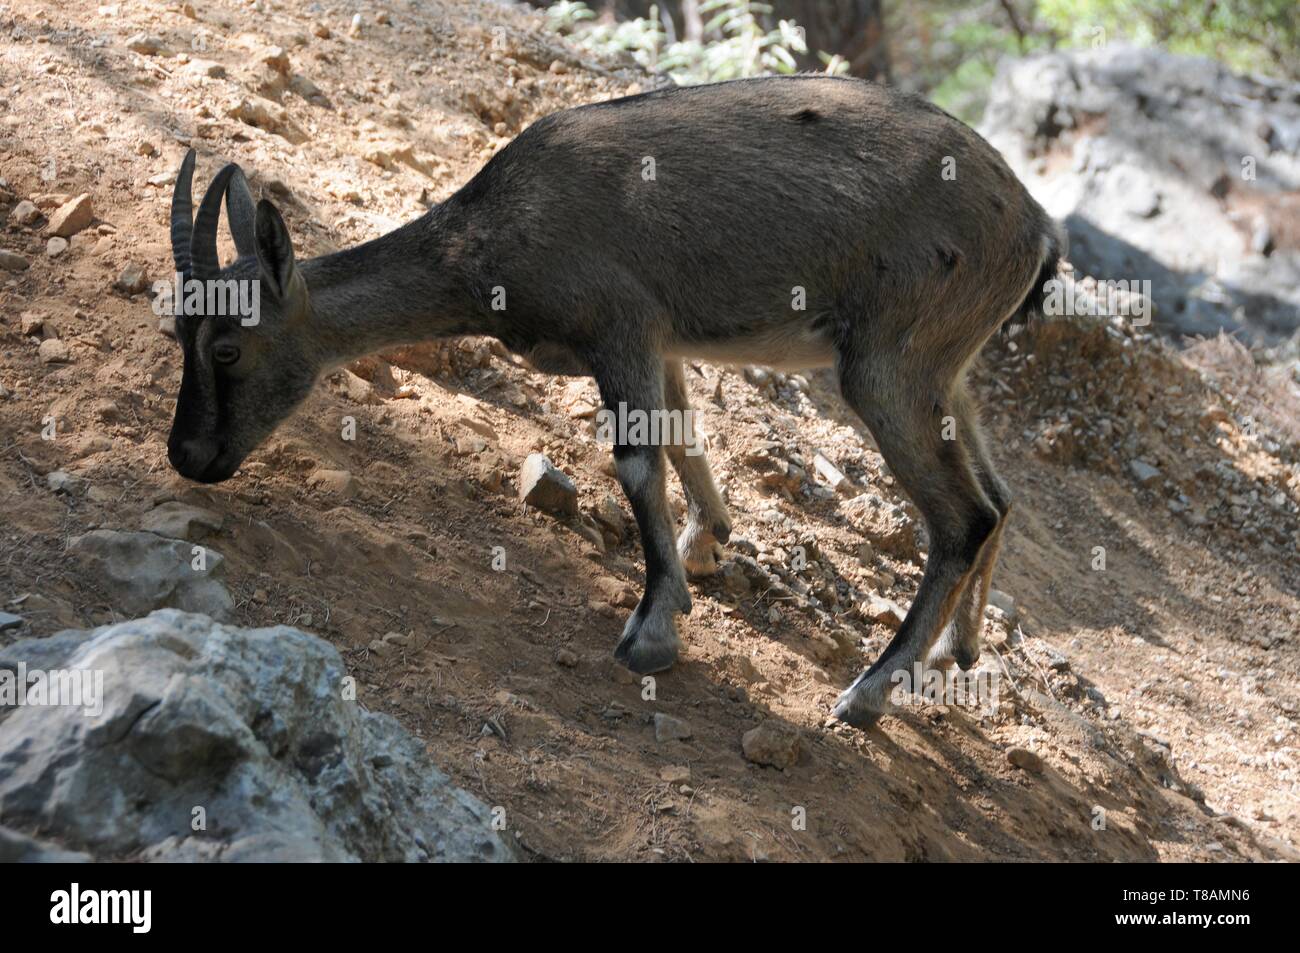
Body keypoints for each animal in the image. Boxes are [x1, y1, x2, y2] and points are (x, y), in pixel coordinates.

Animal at [164, 75, 1063, 728]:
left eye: (227, 347)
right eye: (179, 328)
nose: (189, 454)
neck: (497, 235)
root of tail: (1035, 230)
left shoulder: (619, 323)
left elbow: (636, 460)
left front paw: (652, 627)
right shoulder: (660, 339)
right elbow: (684, 435)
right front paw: (707, 547)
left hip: (888, 363)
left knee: (962, 515)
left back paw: (868, 693)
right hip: (945, 366)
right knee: (1000, 496)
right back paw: (954, 651)